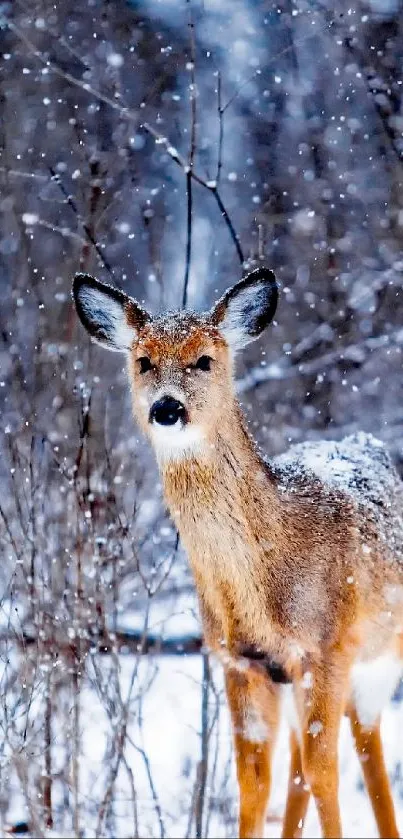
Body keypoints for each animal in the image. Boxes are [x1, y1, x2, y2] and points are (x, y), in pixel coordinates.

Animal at [73, 270, 403, 839]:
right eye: (143, 361)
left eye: (205, 360)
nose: (167, 408)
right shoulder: (239, 661)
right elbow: (254, 784)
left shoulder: (329, 646)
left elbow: (326, 774)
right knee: (299, 764)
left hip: (382, 653)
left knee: (364, 743)